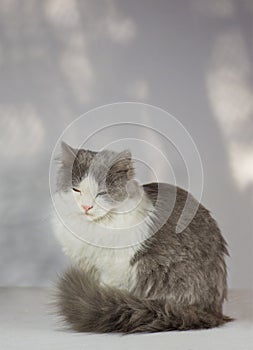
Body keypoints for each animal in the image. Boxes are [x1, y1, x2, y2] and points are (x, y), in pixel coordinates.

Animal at [52, 141, 233, 332]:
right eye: (76, 190)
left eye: (101, 193)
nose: (86, 207)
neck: (93, 228)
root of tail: (213, 312)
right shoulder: (89, 267)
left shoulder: (114, 269)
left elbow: (104, 290)